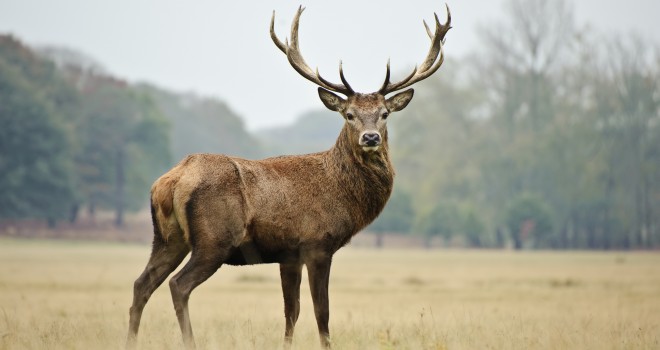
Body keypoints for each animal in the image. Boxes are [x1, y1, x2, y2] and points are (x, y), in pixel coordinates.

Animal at [126, 4, 452, 348]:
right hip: (214, 239)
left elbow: (291, 312)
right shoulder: (317, 243)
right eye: (349, 115)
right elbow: (322, 312)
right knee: (178, 285)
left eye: (384, 114)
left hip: (167, 238)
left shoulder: (288, 254)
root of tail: (171, 180)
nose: (371, 137)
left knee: (141, 284)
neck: (343, 194)